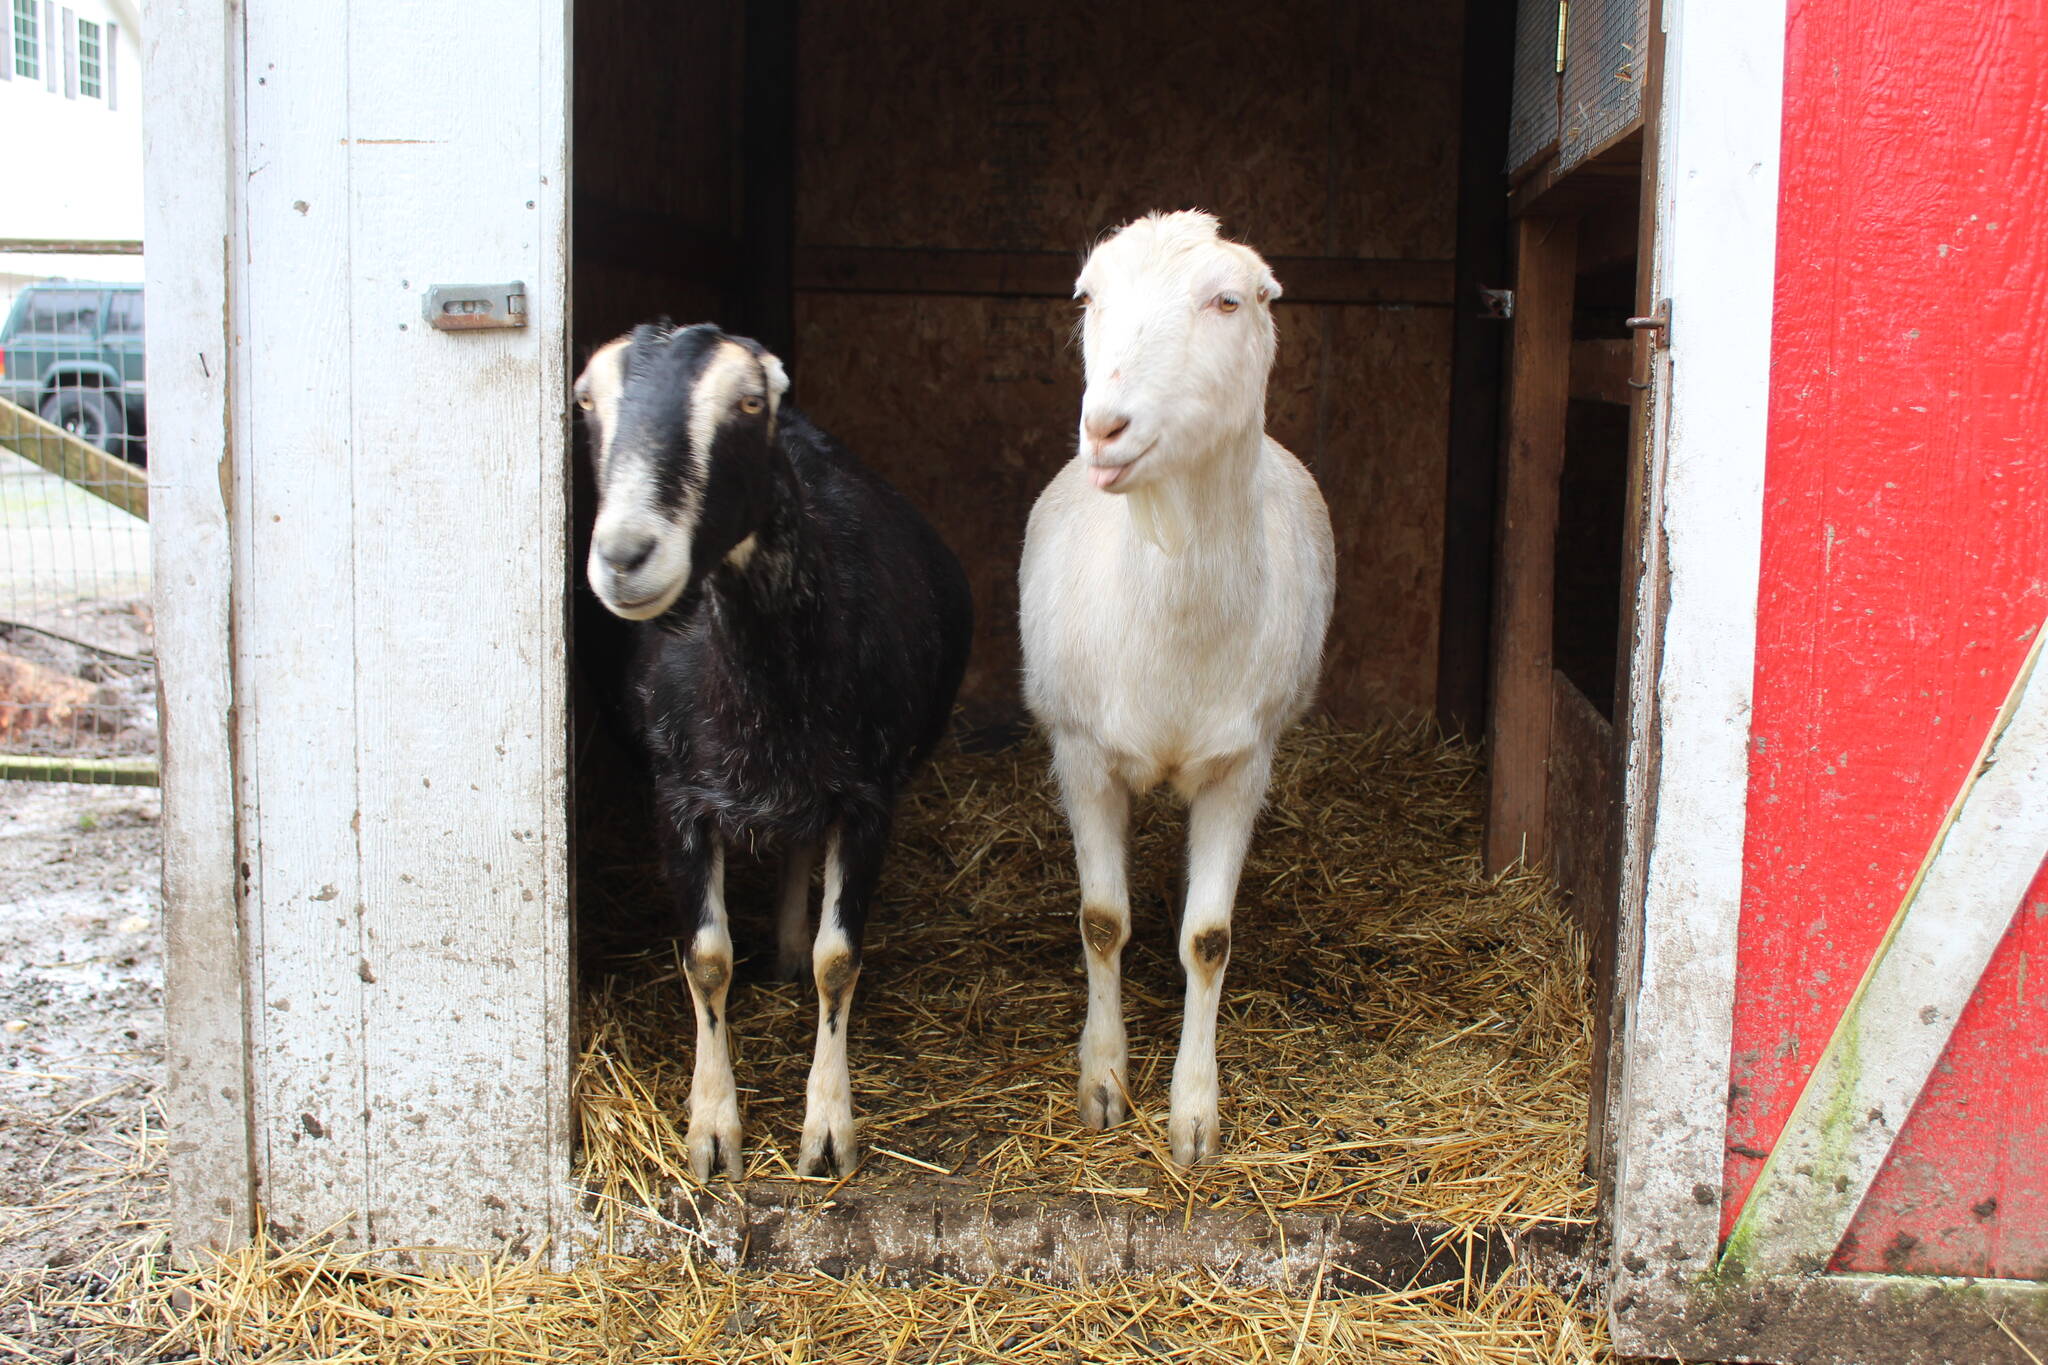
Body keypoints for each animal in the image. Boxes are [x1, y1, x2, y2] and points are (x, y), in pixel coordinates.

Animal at [576, 323, 973, 1180]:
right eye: (586, 401)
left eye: (748, 403)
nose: (625, 554)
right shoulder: (678, 795)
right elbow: (706, 958)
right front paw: (713, 1130)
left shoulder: (867, 795)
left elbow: (838, 958)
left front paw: (826, 1132)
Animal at [1019, 212, 1336, 1165]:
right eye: (1088, 296)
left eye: (1227, 300)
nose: (1106, 426)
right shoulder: (1081, 751)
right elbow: (1100, 920)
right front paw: (1102, 1081)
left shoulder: (1243, 762)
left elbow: (1208, 938)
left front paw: (1194, 1113)